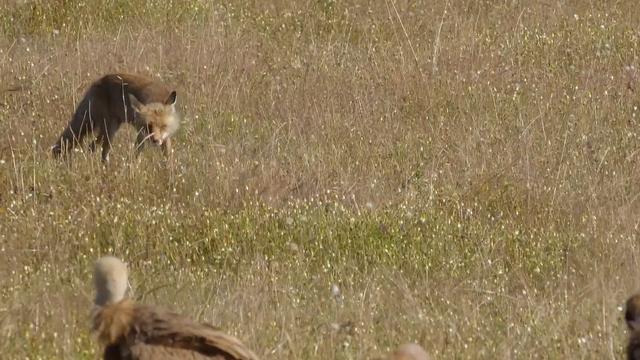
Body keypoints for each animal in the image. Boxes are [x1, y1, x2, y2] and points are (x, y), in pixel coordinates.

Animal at [50, 73, 179, 162]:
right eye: (148, 126)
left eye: (163, 126)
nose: (155, 141)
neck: (155, 98)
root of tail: (98, 81)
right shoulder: (141, 134)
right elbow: (137, 155)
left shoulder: (165, 137)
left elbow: (168, 157)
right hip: (109, 130)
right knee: (100, 151)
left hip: (109, 129)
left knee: (91, 147)